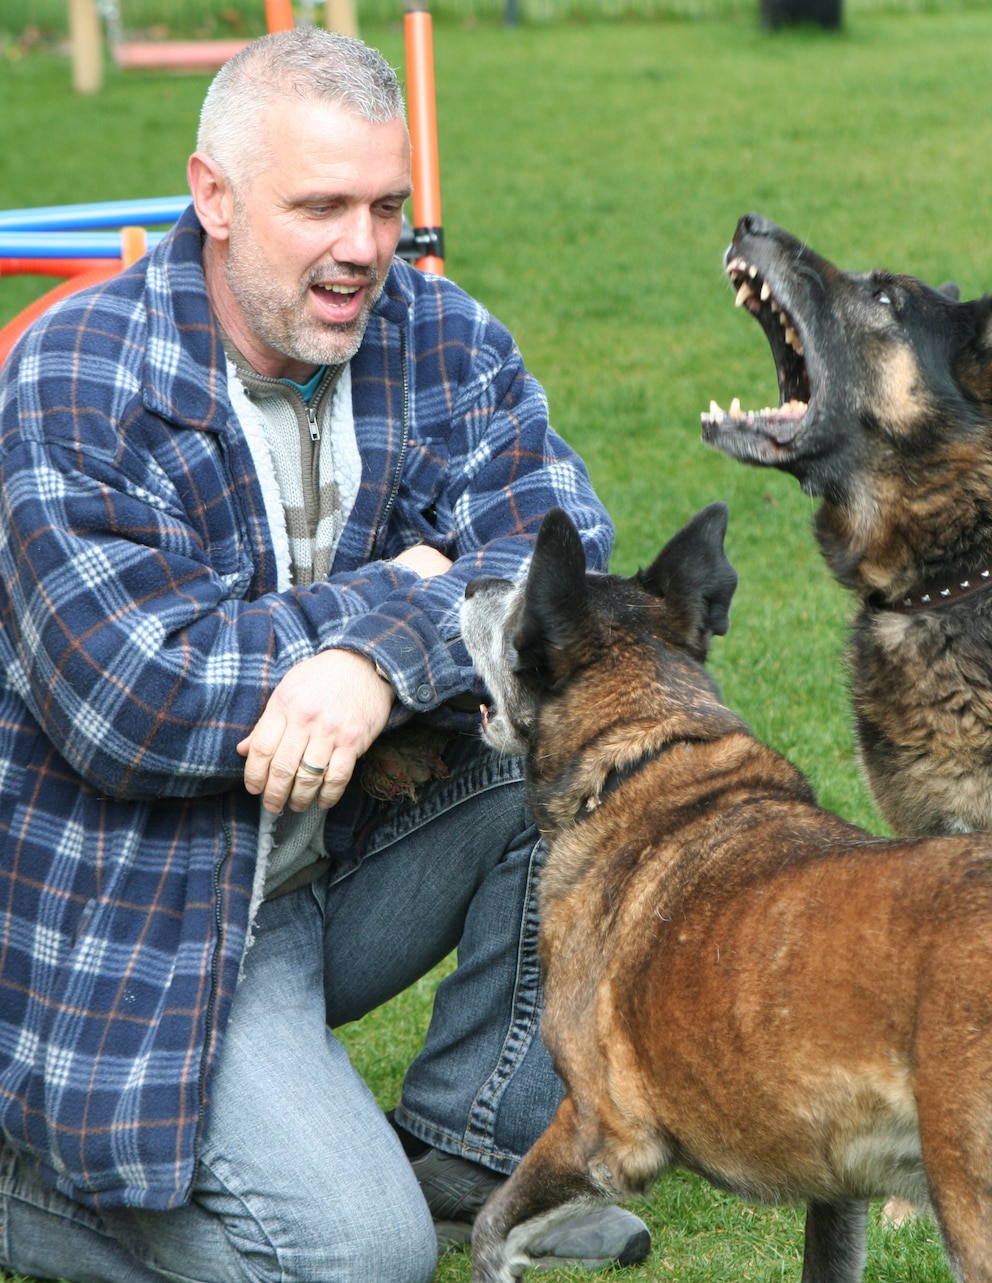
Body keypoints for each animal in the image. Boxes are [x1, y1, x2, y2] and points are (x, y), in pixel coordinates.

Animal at [459, 505, 990, 1283]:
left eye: (516, 616)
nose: (474, 581)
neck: (649, 748)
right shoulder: (838, 1185)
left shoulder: (601, 1136)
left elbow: (491, 1229)